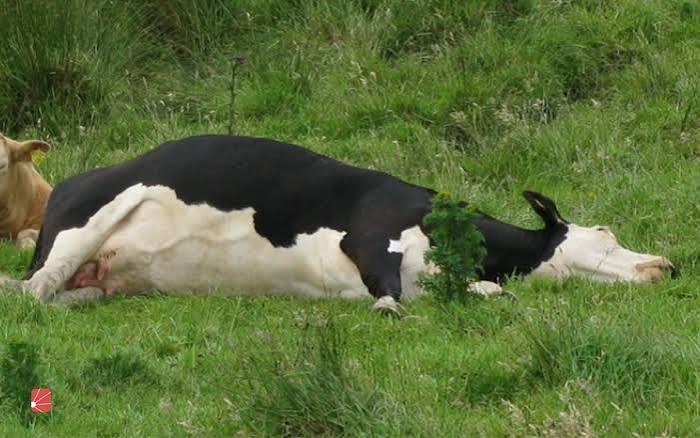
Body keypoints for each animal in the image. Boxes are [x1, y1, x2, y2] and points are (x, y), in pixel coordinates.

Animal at [0, 135, 674, 314]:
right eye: (607, 234)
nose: (666, 265)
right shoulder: (371, 233)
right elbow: (388, 285)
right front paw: (389, 309)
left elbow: (481, 290)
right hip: (85, 222)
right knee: (31, 293)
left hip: (99, 276)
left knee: (55, 295)